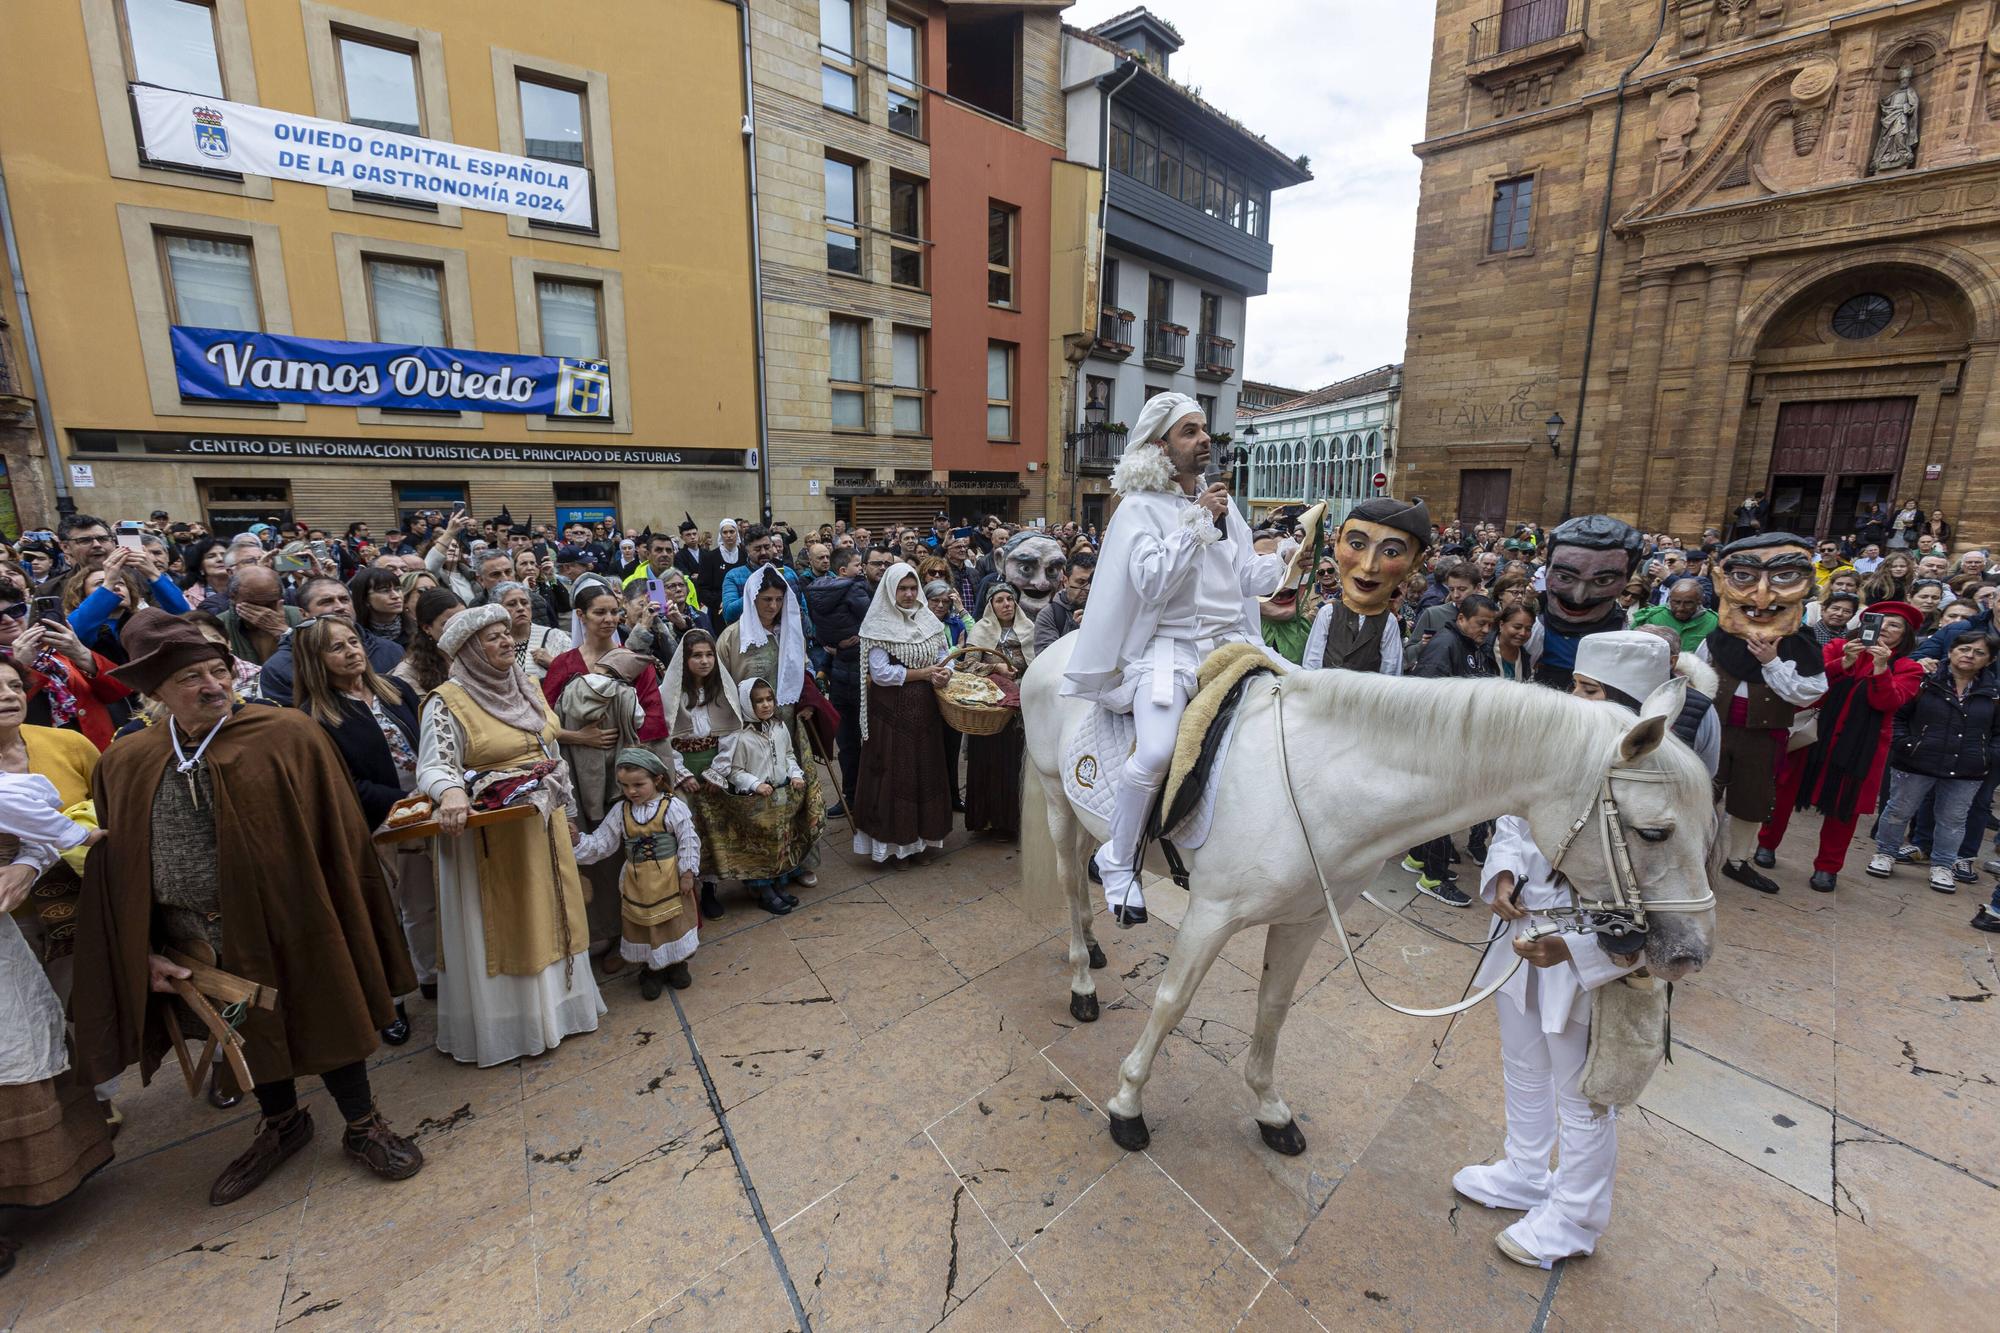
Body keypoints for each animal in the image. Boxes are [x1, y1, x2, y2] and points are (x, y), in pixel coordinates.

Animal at [1016, 636, 1720, 1152]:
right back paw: (1083, 977)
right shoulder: (1211, 915)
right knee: (1072, 883)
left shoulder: (1303, 921)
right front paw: (1127, 1104)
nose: (1690, 954)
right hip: (1058, 800)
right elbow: (1170, 1002)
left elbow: (1273, 1010)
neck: (1321, 782)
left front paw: (1270, 1111)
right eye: (1654, 831)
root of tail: (1060, 649)